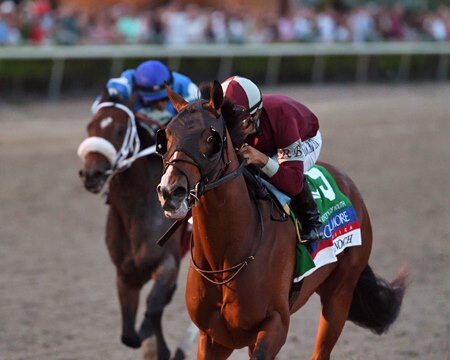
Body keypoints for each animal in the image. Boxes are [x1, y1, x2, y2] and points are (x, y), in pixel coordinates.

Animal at [78, 90, 197, 360]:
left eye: (121, 129)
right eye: (90, 126)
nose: (91, 174)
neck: (136, 212)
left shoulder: (167, 263)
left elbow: (153, 307)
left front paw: (158, 344)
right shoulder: (126, 274)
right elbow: (128, 334)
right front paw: (154, 345)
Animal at [156, 82, 406, 360]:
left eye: (211, 139)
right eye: (165, 137)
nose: (170, 192)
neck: (226, 257)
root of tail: (348, 183)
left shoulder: (274, 325)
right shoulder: (213, 338)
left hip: (340, 294)